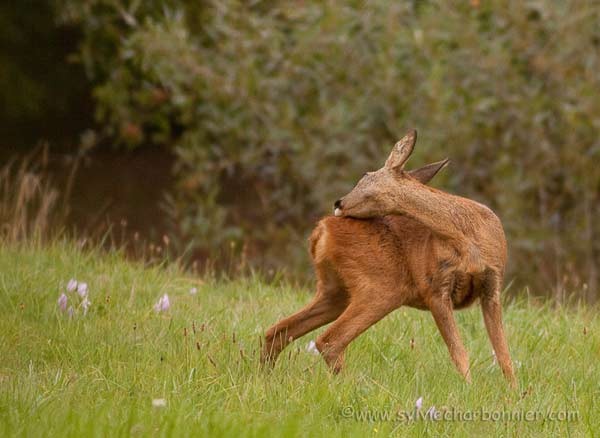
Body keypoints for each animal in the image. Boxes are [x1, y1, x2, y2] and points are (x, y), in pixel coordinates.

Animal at [262, 131, 516, 386]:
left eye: (364, 175)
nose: (338, 202)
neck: (468, 238)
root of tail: (321, 230)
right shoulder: (435, 287)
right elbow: (460, 353)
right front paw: (468, 388)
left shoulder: (492, 286)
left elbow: (504, 356)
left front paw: (512, 390)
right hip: (382, 286)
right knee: (328, 340)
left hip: (337, 290)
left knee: (278, 331)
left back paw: (267, 376)